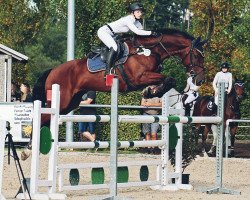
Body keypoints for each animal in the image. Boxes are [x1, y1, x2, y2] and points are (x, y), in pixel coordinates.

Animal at [33, 28, 208, 125]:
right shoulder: (139, 78)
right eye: (197, 56)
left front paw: (151, 91)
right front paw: (150, 92)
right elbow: (169, 78)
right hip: (61, 100)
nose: (200, 79)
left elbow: (168, 80)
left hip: (70, 103)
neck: (150, 50)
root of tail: (53, 70)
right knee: (43, 118)